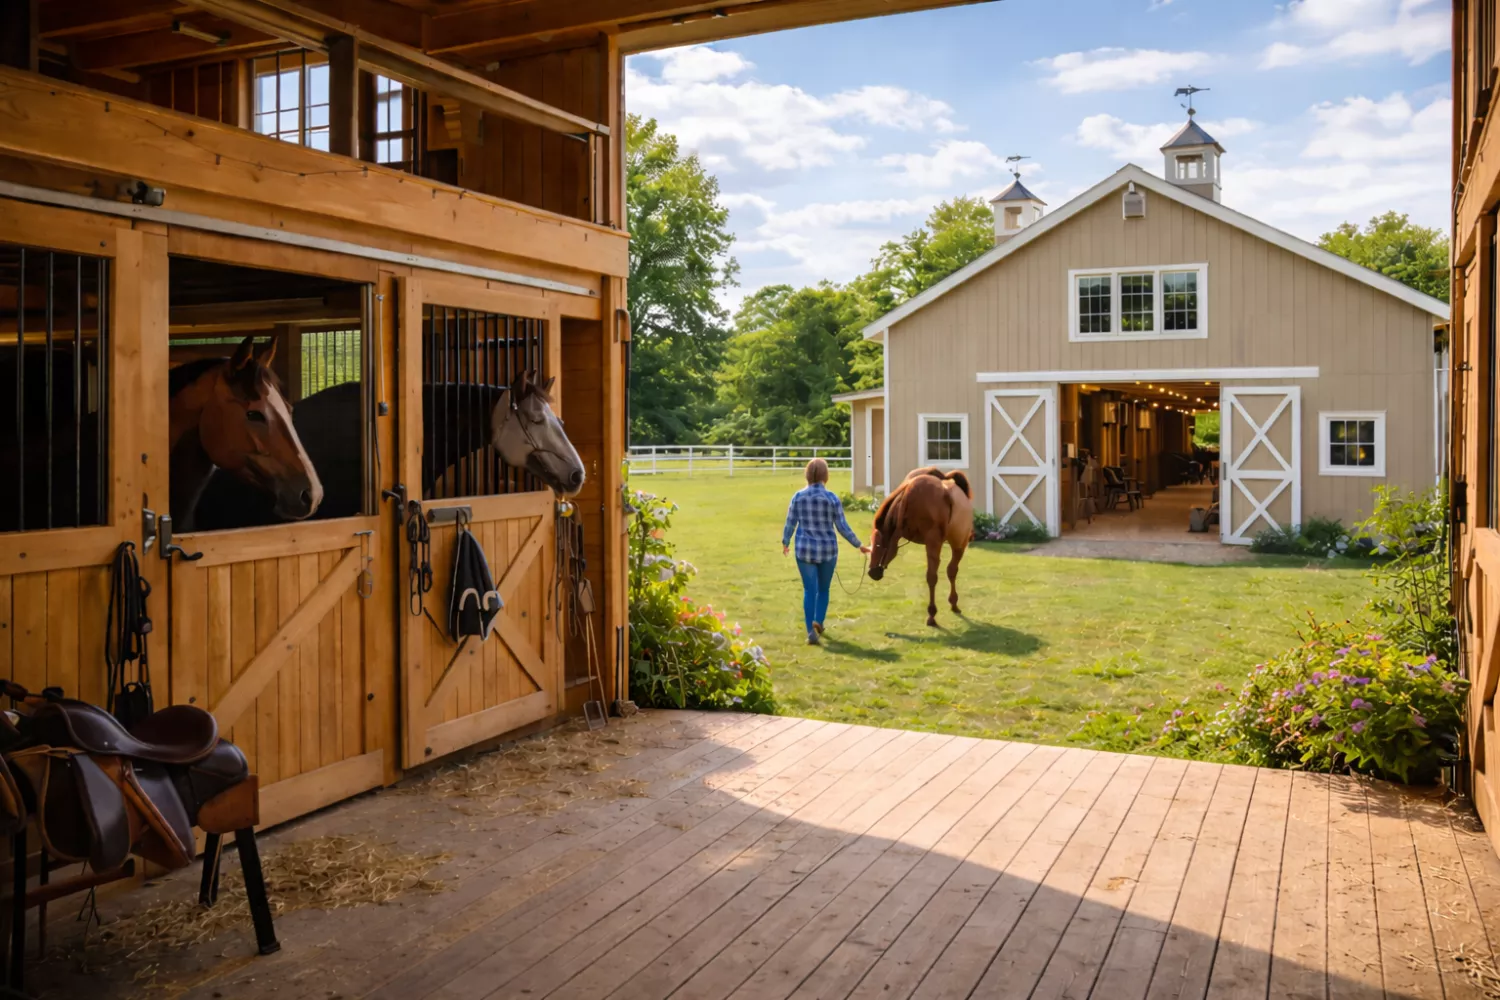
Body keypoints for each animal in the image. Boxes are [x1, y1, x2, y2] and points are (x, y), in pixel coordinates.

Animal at [867, 466, 974, 627]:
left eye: (878, 545)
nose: (871, 572)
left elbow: (932, 577)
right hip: (957, 544)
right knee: (951, 570)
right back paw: (953, 603)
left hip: (947, 543)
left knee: (941, 573)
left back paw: (941, 610)